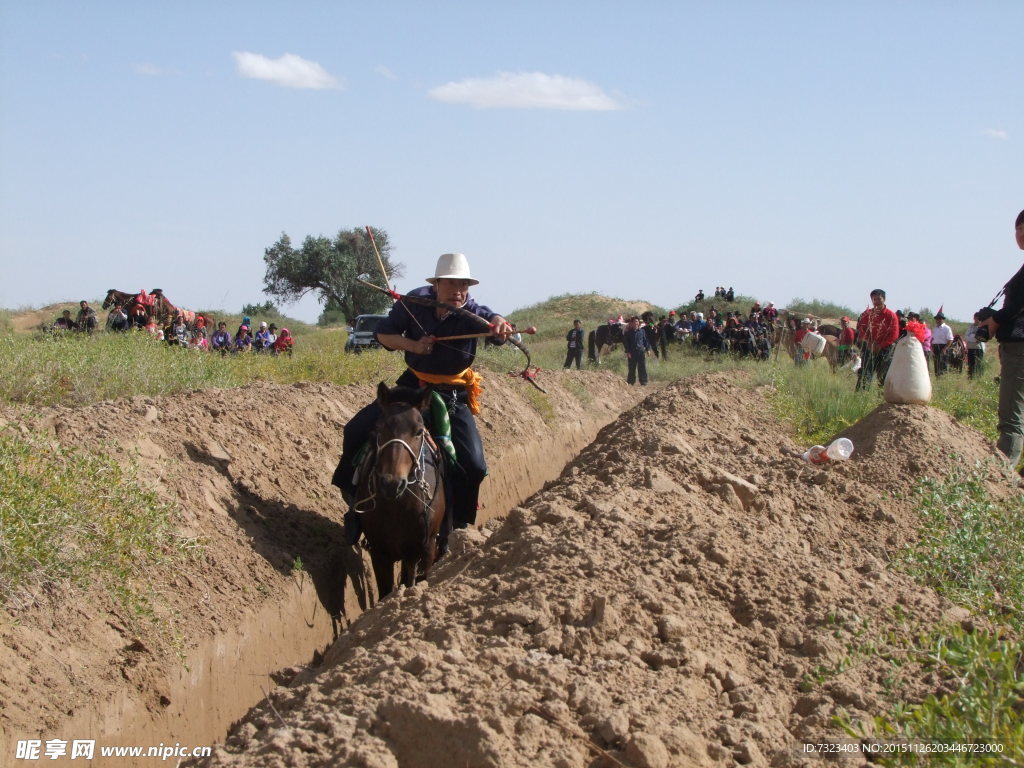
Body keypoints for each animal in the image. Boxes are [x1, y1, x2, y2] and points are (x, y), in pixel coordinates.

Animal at [354, 387, 446, 598]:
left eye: (419, 431)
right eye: (379, 427)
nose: (391, 483)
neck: (397, 508)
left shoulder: (423, 549)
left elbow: (415, 580)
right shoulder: (380, 553)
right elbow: (385, 591)